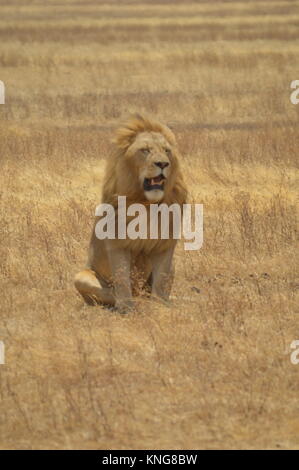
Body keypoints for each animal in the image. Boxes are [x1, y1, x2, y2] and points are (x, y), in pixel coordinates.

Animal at [75, 113, 188, 312]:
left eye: (167, 151)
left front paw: (159, 307)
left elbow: (161, 280)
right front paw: (127, 308)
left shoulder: (165, 245)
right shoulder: (117, 243)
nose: (163, 164)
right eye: (145, 150)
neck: (146, 203)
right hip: (80, 277)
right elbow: (121, 279)